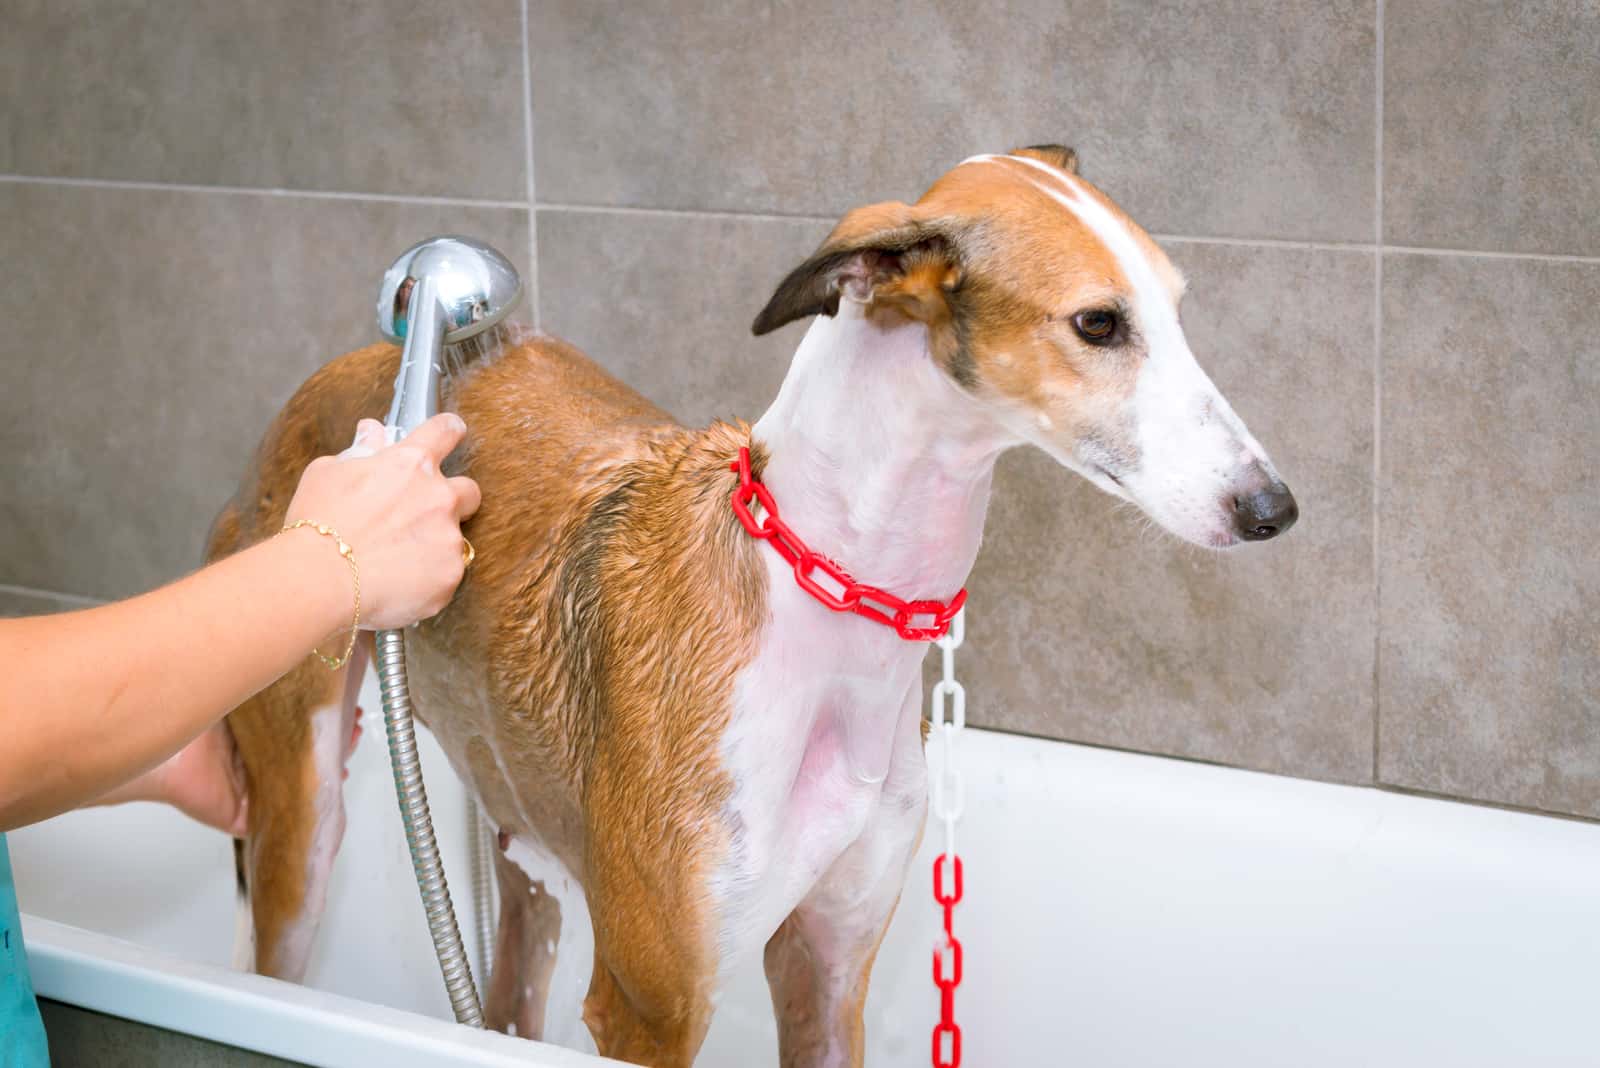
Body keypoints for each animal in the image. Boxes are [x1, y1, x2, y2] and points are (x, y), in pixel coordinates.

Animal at [203, 146, 1299, 1061]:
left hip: (518, 840)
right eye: (1097, 323)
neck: (826, 602)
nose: (1272, 509)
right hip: (304, 823)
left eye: (1178, 306)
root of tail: (366, 371)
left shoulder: (829, 963)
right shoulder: (650, 1008)